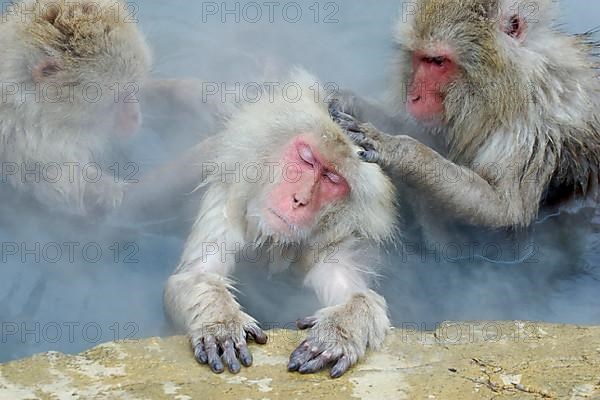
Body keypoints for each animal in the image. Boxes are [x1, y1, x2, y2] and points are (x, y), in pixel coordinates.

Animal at [0, 0, 150, 216]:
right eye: (117, 98)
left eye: (132, 89)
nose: (135, 116)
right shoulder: (29, 140)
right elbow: (63, 193)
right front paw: (108, 190)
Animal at [165, 69, 398, 378]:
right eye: (307, 158)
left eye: (332, 178)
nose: (299, 200)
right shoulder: (227, 202)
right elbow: (196, 276)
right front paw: (221, 323)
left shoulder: (335, 242)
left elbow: (358, 295)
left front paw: (338, 333)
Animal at [332, 0, 600, 228]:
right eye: (419, 57)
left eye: (437, 61)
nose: (412, 97)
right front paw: (349, 101)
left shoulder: (533, 126)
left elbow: (504, 212)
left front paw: (397, 148)